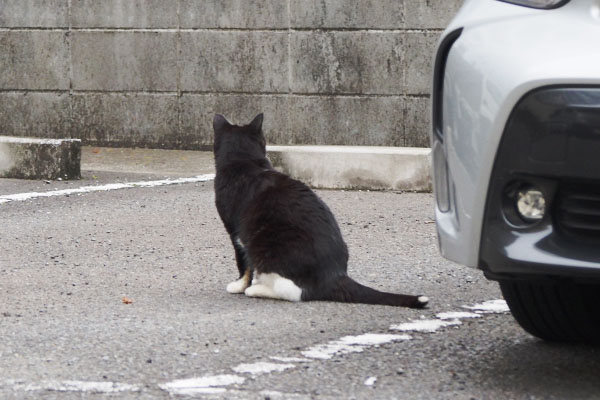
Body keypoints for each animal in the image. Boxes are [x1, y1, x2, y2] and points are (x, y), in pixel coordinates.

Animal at [213, 114, 428, 308]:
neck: (245, 164)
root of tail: (333, 275)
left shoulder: (235, 231)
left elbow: (243, 263)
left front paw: (239, 285)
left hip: (265, 244)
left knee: (295, 292)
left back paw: (257, 289)